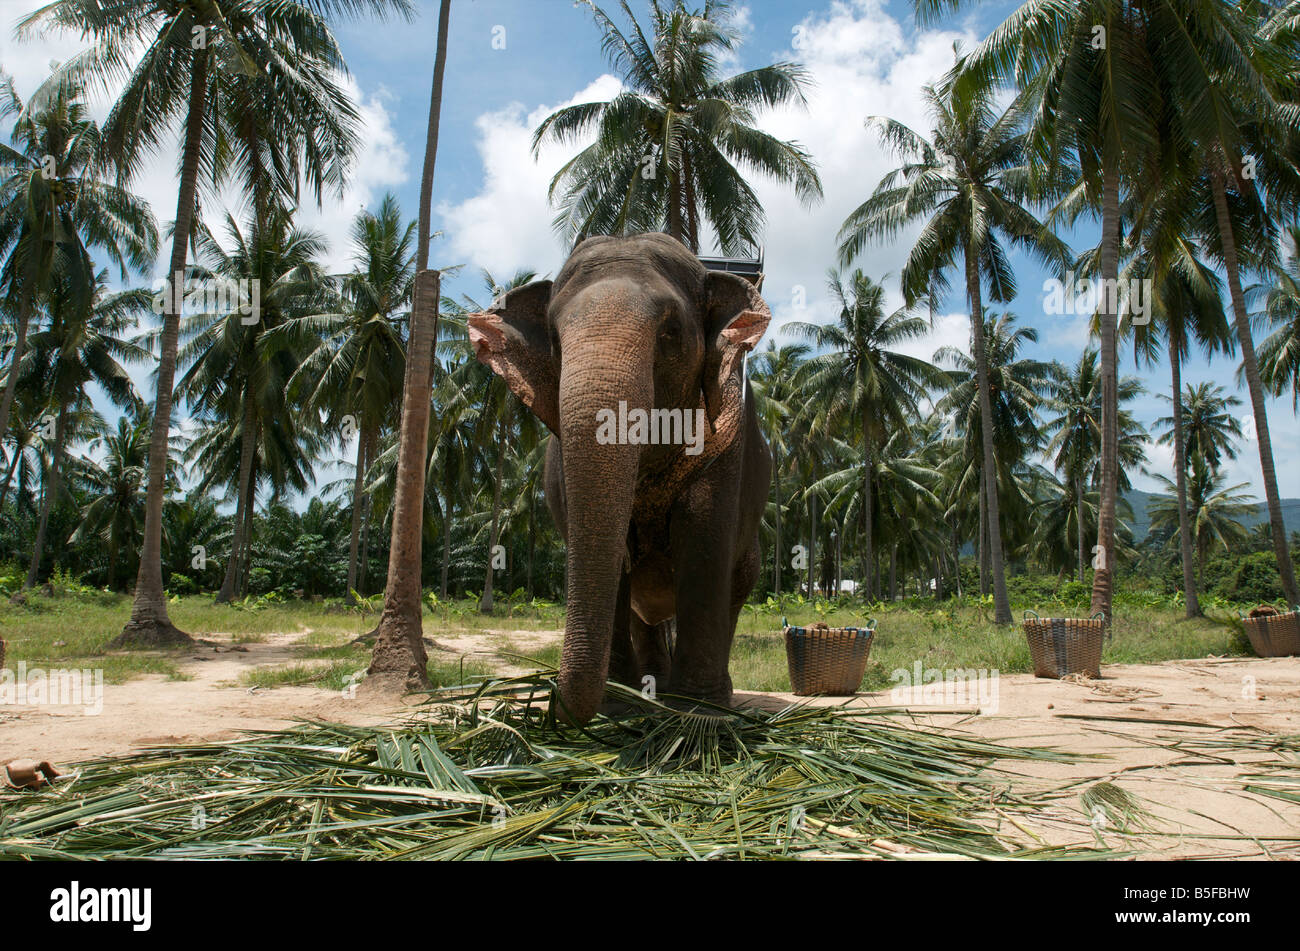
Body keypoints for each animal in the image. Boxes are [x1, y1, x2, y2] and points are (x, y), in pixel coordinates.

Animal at [467, 233, 769, 722]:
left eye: (670, 333)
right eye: (555, 339)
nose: (551, 699)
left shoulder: (729, 444)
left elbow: (703, 536)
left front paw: (699, 713)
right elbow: (609, 556)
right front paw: (616, 704)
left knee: (735, 589)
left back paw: (701, 696)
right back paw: (650, 689)